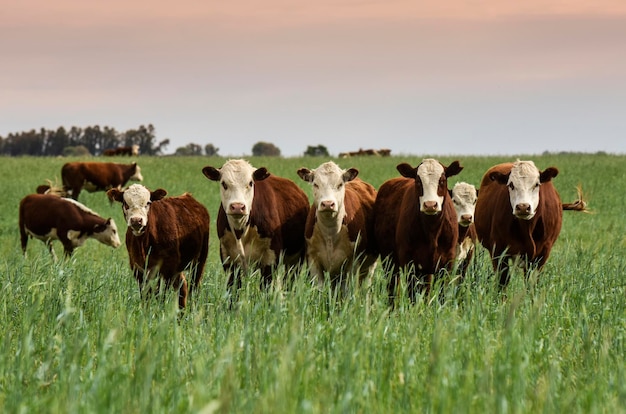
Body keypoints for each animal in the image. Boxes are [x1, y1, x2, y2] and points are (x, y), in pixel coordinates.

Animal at [202, 158, 310, 298]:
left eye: (250, 183)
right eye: (224, 183)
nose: (237, 207)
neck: (240, 231)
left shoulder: (270, 258)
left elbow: (266, 290)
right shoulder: (228, 259)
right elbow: (234, 291)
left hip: (295, 259)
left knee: (289, 283)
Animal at [296, 160, 378, 292]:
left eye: (340, 184)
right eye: (316, 184)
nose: (327, 204)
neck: (330, 234)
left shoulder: (352, 262)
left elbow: (346, 290)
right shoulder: (313, 261)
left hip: (369, 265)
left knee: (365, 285)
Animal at [370, 158, 464, 304]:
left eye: (442, 180)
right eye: (418, 181)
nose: (430, 205)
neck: (432, 231)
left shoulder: (447, 263)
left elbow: (441, 294)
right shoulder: (410, 264)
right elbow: (413, 295)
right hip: (389, 260)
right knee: (393, 288)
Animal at [476, 160, 584, 290]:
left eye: (536, 184)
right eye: (511, 185)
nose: (523, 207)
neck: (527, 228)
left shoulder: (542, 253)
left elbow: (532, 283)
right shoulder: (498, 251)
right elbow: (502, 282)